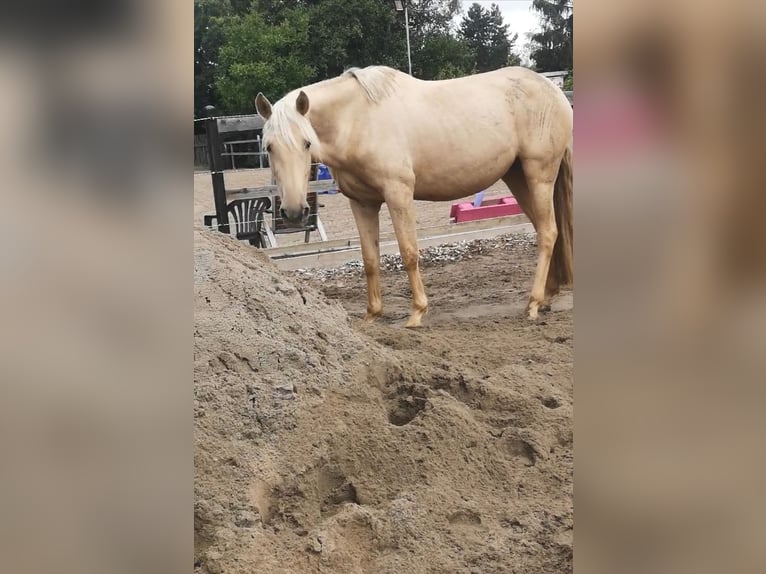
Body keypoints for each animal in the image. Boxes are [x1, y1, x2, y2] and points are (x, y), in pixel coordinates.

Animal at [255, 64, 572, 326]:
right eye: (269, 147)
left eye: (307, 143)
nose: (294, 212)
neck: (359, 120)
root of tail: (554, 90)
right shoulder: (362, 203)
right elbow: (370, 259)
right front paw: (372, 315)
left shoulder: (399, 193)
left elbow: (408, 252)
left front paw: (417, 312)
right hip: (518, 178)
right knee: (545, 230)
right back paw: (545, 298)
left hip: (539, 175)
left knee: (548, 233)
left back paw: (533, 304)